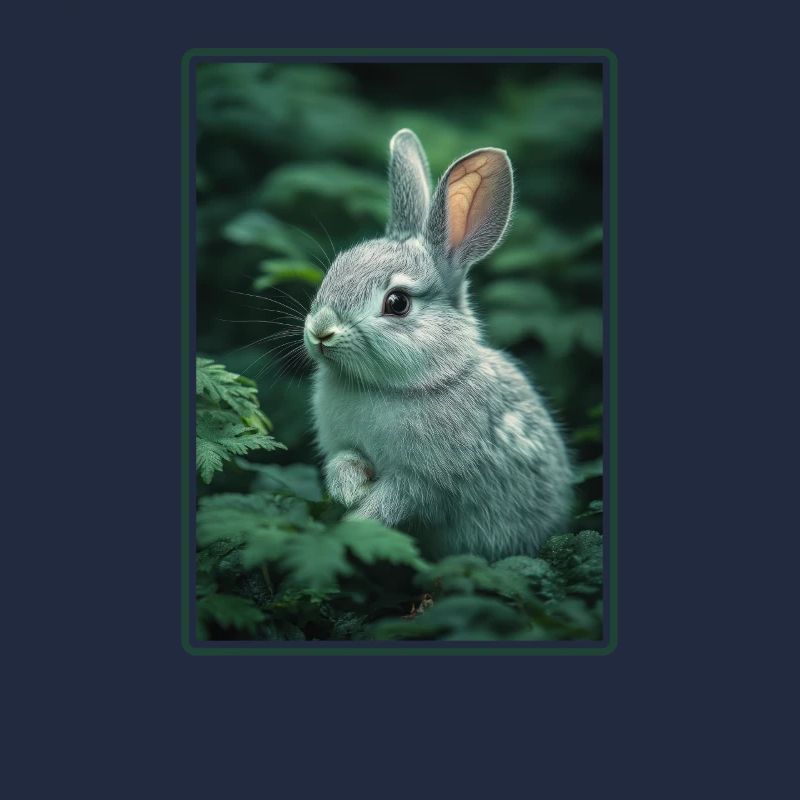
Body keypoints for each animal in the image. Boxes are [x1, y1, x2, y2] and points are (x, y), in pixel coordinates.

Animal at [303, 129, 573, 561]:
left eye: (397, 303)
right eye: (336, 268)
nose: (321, 331)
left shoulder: (425, 483)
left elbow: (395, 500)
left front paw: (355, 523)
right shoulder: (344, 447)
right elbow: (343, 462)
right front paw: (350, 490)